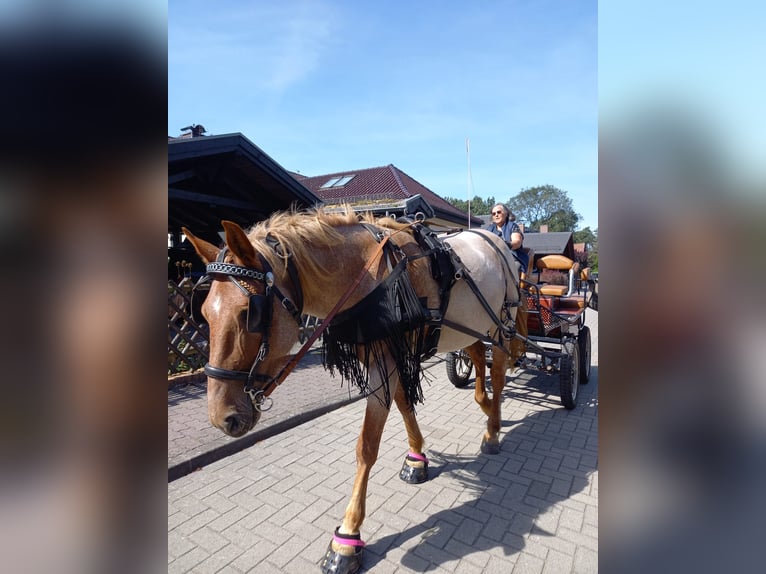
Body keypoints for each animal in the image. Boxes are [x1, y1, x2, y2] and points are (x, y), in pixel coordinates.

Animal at [183, 208, 520, 574]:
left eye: (250, 314)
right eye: (203, 313)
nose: (223, 418)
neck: (370, 275)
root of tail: (495, 240)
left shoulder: (385, 359)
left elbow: (367, 446)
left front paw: (347, 536)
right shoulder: (383, 356)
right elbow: (403, 404)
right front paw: (416, 457)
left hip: (502, 325)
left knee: (498, 373)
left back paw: (492, 430)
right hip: (472, 328)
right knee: (477, 360)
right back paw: (486, 407)